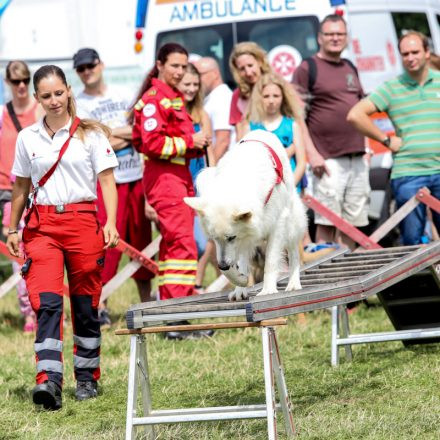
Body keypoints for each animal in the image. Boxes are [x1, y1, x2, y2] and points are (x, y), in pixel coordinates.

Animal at [182, 129, 306, 300]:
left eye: (231, 237)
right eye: (214, 238)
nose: (222, 265)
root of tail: (262, 131)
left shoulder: (276, 224)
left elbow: (270, 262)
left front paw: (268, 290)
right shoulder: (240, 240)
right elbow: (235, 267)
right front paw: (240, 283)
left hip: (292, 224)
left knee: (294, 254)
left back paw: (293, 283)